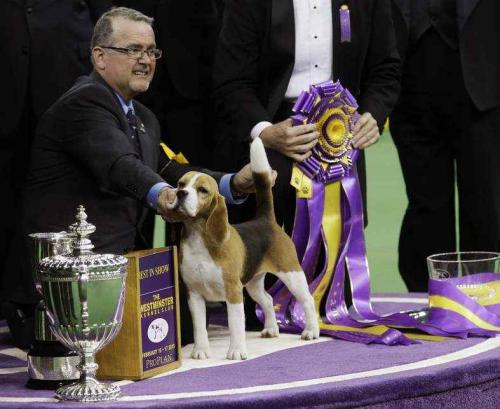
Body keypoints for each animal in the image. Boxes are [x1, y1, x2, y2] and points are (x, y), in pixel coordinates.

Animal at [165, 138, 320, 360]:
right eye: (181, 184)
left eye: (202, 190)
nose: (180, 193)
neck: (199, 239)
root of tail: (265, 220)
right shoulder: (194, 294)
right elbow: (199, 328)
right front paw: (201, 350)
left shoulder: (233, 292)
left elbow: (236, 325)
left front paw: (236, 351)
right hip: (254, 283)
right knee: (268, 299)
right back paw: (271, 328)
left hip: (292, 274)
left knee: (307, 300)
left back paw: (311, 331)